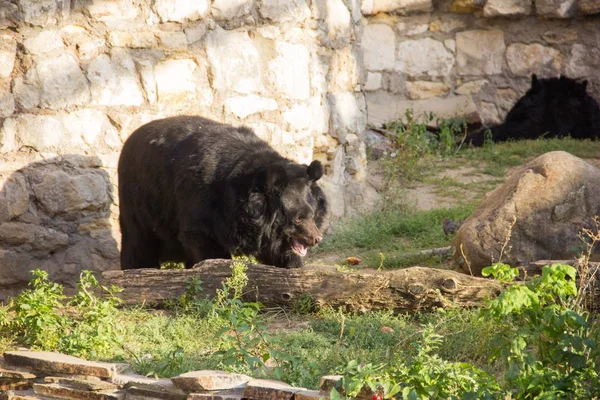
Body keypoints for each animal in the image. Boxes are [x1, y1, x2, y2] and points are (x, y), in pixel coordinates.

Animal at [118, 116, 328, 272]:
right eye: (298, 218)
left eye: (312, 214)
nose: (316, 238)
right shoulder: (200, 200)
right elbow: (204, 240)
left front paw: (293, 267)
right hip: (139, 198)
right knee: (138, 241)